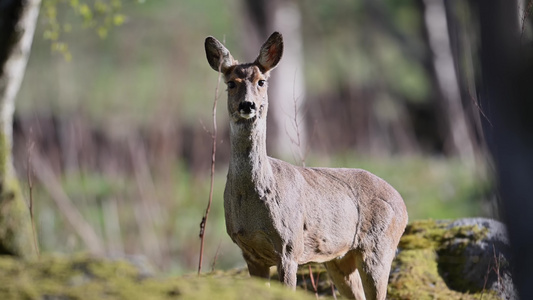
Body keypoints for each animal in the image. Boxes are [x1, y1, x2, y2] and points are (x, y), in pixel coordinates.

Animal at [204, 31, 408, 298]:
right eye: (231, 83)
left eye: (261, 81)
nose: (247, 105)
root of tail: (403, 205)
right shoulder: (250, 252)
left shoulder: (290, 247)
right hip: (339, 258)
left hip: (379, 247)